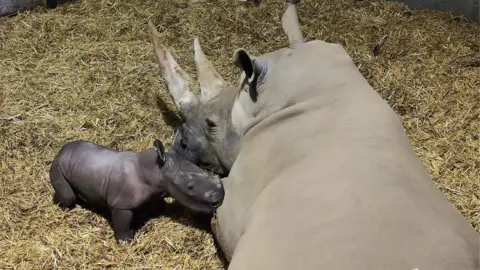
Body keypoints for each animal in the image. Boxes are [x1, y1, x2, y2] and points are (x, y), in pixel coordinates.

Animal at [48, 139, 225, 240]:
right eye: (190, 187)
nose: (220, 197)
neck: (156, 170)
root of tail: (62, 150)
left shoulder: (156, 190)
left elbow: (156, 203)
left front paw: (159, 211)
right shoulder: (121, 203)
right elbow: (123, 222)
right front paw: (127, 240)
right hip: (58, 165)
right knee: (68, 197)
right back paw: (62, 205)